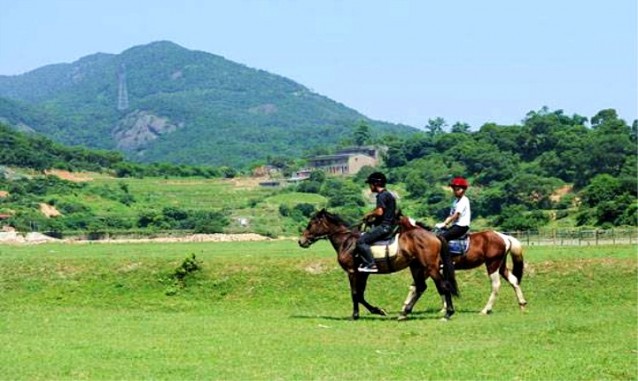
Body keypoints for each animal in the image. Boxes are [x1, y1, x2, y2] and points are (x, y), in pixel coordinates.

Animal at [300, 209, 460, 320]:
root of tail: (434, 235)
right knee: (421, 287)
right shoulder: (362, 274)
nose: (301, 241)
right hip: (416, 267)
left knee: (444, 285)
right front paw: (378, 311)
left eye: (312, 224)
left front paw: (355, 315)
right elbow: (360, 295)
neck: (346, 242)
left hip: (430, 267)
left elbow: (355, 293)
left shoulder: (352, 272)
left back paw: (448, 313)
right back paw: (404, 313)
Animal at [400, 215, 528, 314]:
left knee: (496, 285)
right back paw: (522, 304)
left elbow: (420, 286)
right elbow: (436, 286)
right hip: (500, 265)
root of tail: (504, 237)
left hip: (492, 265)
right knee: (513, 280)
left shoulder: (429, 268)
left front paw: (405, 307)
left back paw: (485, 310)